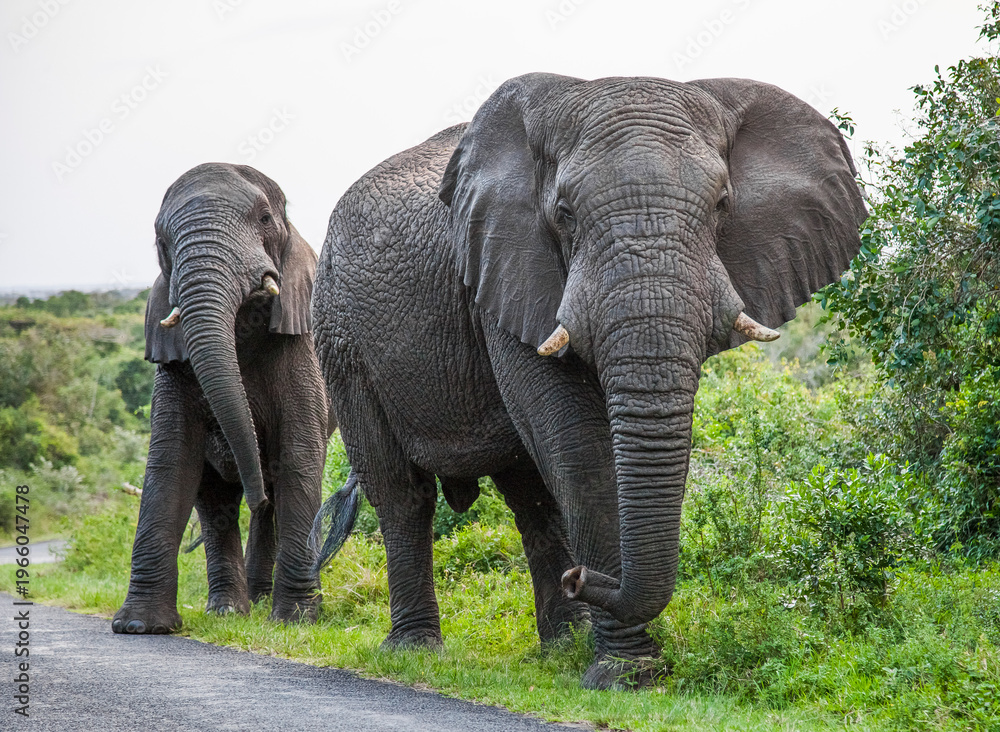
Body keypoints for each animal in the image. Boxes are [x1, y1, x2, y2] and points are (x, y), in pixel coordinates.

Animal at [113, 163, 331, 634]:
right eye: (160, 240)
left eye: (265, 219)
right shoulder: (173, 363)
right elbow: (172, 463)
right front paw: (139, 627)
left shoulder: (301, 349)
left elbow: (299, 454)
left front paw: (297, 622)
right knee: (216, 503)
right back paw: (232, 609)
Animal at [310, 73, 866, 688]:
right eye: (564, 212)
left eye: (723, 205)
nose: (582, 579)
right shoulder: (507, 270)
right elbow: (579, 446)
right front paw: (624, 676)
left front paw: (622, 668)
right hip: (341, 338)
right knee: (402, 493)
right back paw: (415, 650)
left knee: (530, 498)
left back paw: (562, 642)